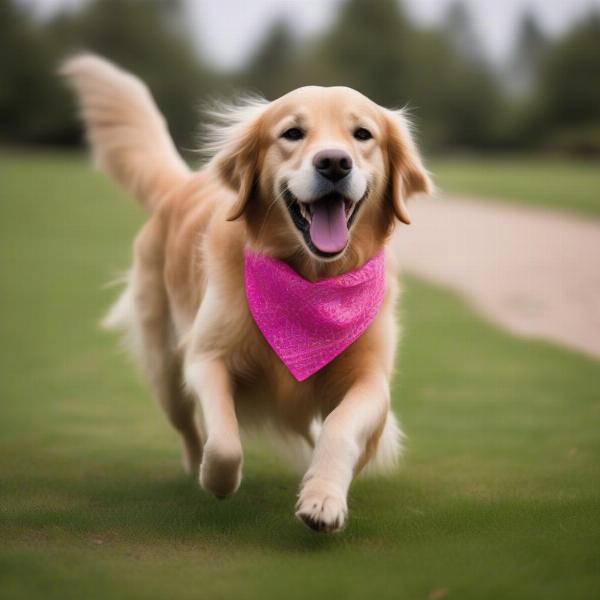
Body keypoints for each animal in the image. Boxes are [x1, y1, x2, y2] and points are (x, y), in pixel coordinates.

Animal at [62, 54, 432, 532]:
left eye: (362, 134)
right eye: (292, 133)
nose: (334, 162)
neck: (313, 281)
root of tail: (180, 186)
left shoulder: (370, 378)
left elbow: (339, 428)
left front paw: (323, 498)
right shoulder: (206, 358)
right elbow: (223, 442)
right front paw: (216, 480)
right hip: (165, 368)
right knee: (188, 426)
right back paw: (193, 466)